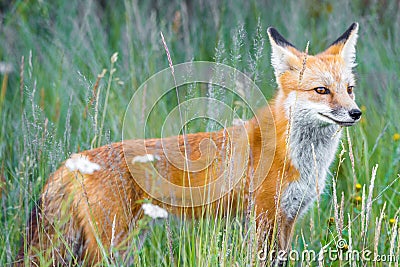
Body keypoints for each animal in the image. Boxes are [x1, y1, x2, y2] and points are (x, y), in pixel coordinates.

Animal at [18, 23, 362, 266]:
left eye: (349, 89)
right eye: (321, 90)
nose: (355, 113)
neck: (301, 158)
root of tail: (74, 161)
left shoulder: (287, 219)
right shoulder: (264, 217)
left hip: (125, 242)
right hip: (111, 244)